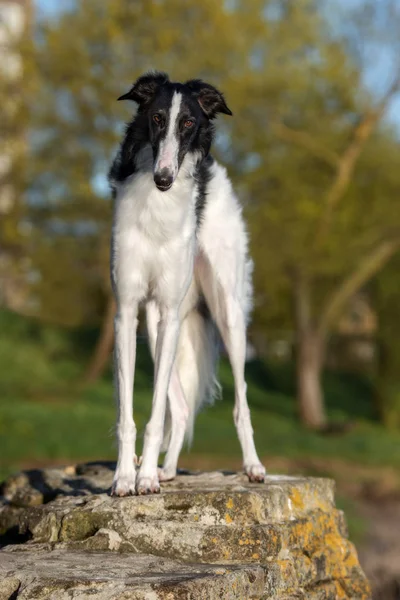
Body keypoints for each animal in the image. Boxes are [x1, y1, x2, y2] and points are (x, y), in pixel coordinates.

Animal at [109, 71, 266, 496]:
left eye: (189, 123)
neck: (157, 206)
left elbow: (154, 414)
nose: (163, 178)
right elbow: (129, 414)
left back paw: (253, 466)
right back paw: (166, 469)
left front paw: (144, 477)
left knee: (241, 403)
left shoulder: (168, 311)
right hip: (157, 324)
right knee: (178, 411)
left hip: (227, 314)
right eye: (157, 118)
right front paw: (126, 477)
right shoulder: (128, 311)